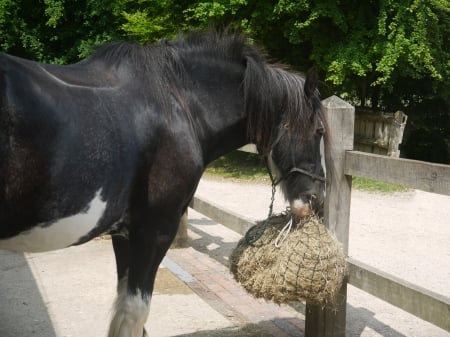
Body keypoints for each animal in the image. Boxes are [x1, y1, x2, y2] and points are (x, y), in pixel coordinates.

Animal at [0, 30, 326, 334]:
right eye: (320, 131)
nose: (316, 199)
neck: (178, 104)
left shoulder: (124, 233)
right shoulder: (154, 231)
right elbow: (134, 312)